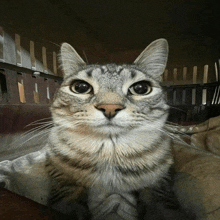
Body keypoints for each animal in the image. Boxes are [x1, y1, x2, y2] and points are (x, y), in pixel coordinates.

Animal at [45, 38, 174, 219]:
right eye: (80, 87)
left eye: (141, 88)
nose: (110, 107)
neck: (109, 153)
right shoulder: (59, 176)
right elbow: (66, 195)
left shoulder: (162, 182)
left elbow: (159, 202)